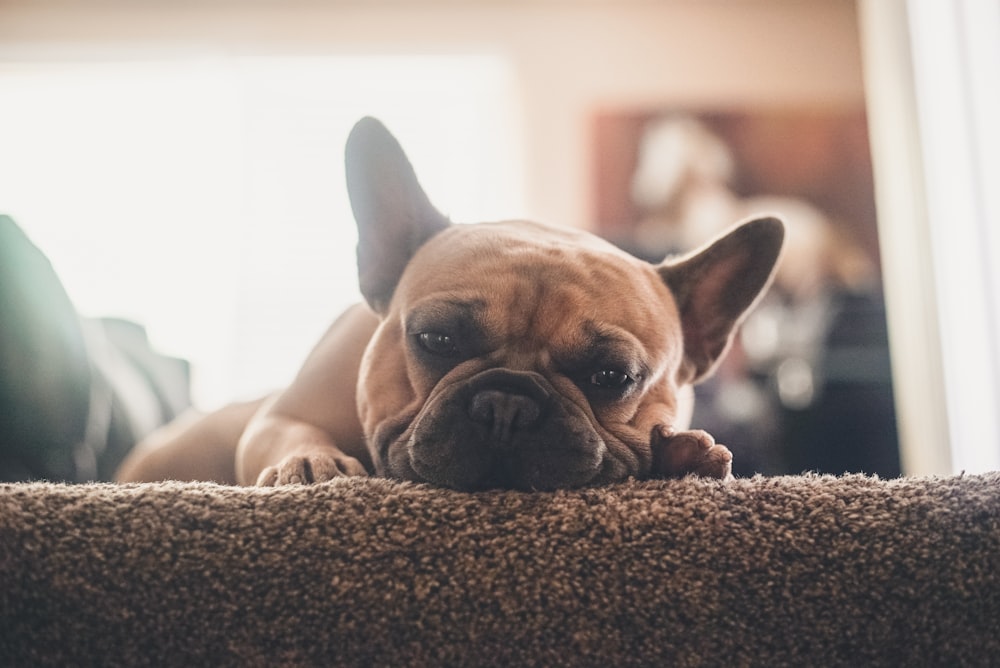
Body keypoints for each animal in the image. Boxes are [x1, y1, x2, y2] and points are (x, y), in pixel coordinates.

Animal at [115, 116, 780, 490]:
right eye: (435, 341)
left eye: (612, 377)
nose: (507, 404)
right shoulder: (279, 416)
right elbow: (288, 433)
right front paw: (309, 464)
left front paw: (684, 457)